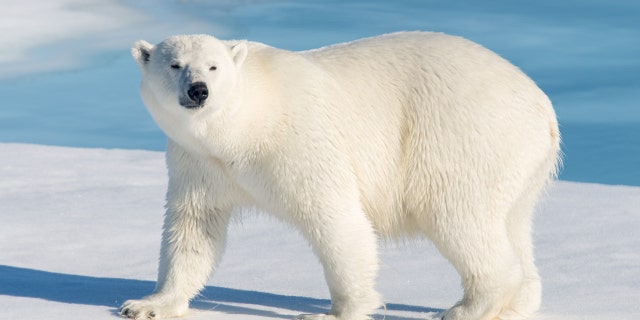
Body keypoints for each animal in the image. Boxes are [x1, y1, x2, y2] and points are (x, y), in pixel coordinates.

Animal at [120, 31, 560, 320]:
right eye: (175, 64)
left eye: (213, 66)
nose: (199, 90)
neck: (245, 126)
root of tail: (543, 107)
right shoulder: (199, 163)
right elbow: (194, 228)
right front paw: (147, 305)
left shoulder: (299, 141)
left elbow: (336, 219)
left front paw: (333, 313)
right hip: (518, 162)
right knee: (512, 223)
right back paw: (517, 303)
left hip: (462, 136)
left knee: (458, 216)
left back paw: (466, 308)